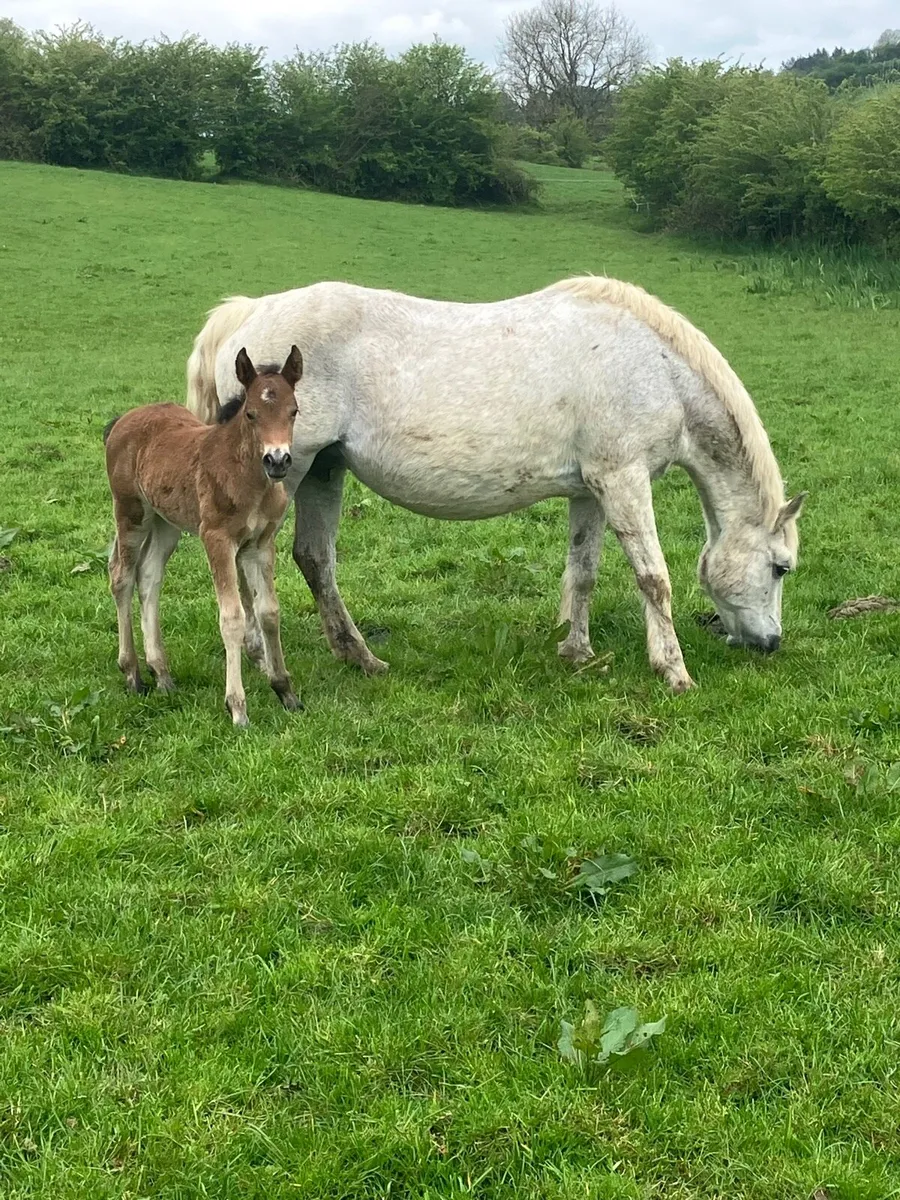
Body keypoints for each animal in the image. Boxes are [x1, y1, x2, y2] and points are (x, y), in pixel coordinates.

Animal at [105, 346, 304, 726]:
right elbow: (232, 617)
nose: (277, 460)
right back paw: (133, 674)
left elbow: (269, 612)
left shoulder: (261, 543)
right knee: (121, 575)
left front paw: (286, 691)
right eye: (251, 414)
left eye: (294, 411)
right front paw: (237, 708)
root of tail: (123, 419)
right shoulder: (217, 539)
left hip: (166, 522)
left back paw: (162, 674)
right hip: (131, 512)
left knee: (148, 577)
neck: (247, 477)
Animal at [185, 277, 806, 692]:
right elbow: (654, 579)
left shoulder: (590, 491)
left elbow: (583, 572)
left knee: (314, 559)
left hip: (322, 470)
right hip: (288, 470)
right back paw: (264, 659)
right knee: (253, 561)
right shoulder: (624, 480)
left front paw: (577, 650)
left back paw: (358, 656)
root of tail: (246, 315)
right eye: (781, 567)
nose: (770, 643)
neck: (654, 367)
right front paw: (673, 670)